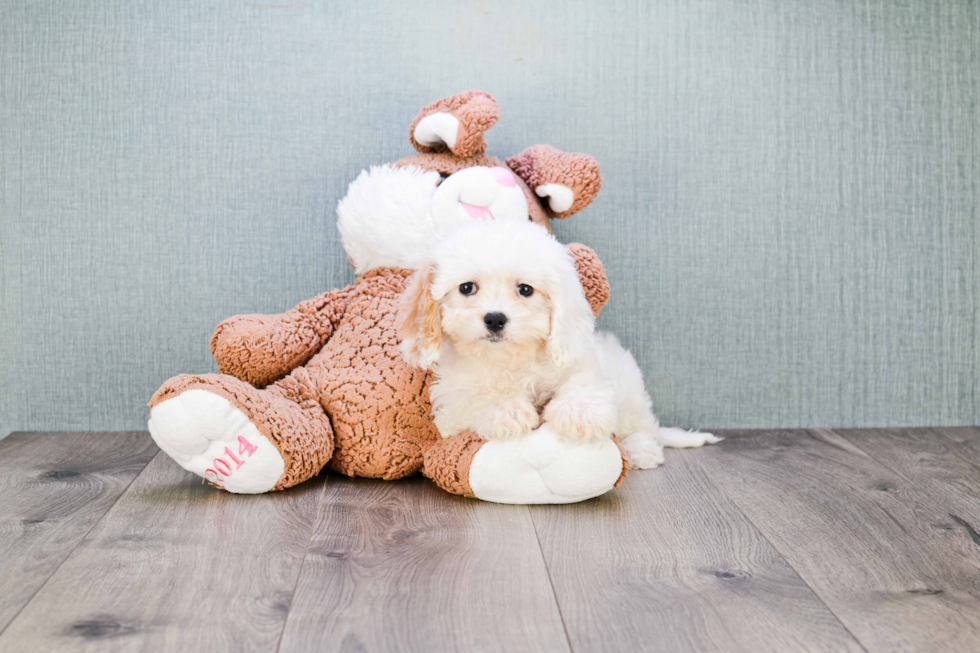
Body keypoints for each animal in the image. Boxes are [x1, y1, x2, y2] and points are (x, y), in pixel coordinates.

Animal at [398, 222, 720, 466]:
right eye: (467, 288)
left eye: (525, 289)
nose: (495, 318)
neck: (509, 359)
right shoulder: (450, 404)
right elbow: (474, 399)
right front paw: (506, 410)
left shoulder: (580, 357)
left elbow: (582, 381)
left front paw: (580, 413)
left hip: (630, 390)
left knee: (642, 426)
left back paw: (643, 450)